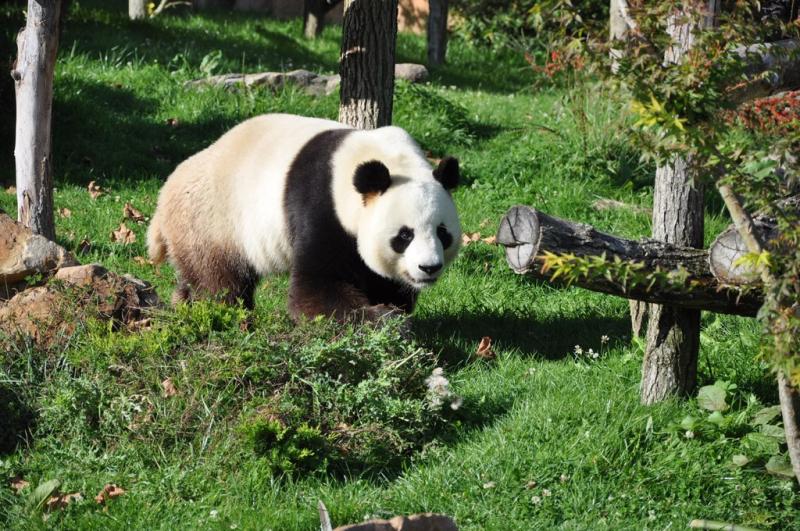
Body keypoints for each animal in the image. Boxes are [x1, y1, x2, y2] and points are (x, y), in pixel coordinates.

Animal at [147, 113, 462, 322]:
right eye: (404, 235)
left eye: (442, 232)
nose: (429, 267)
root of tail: (162, 199)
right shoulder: (320, 205)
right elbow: (316, 290)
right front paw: (381, 318)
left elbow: (381, 280)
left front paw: (393, 309)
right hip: (212, 220)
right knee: (217, 278)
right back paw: (224, 313)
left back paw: (184, 304)